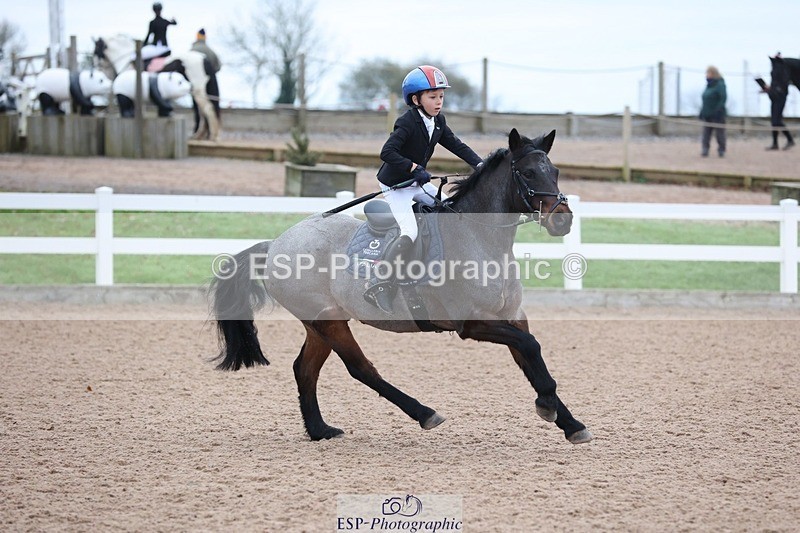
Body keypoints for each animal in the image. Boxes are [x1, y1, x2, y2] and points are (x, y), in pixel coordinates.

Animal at [92, 34, 220, 141]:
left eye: (96, 51)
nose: (98, 68)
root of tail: (203, 57)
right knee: (203, 111)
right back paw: (199, 135)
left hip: (198, 90)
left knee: (207, 109)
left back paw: (212, 136)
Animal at [209, 128, 594, 445]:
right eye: (528, 173)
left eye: (555, 172)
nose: (562, 219)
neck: (478, 236)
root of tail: (275, 243)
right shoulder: (473, 322)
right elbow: (531, 348)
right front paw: (548, 407)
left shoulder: (512, 316)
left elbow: (532, 358)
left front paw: (570, 422)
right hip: (327, 321)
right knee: (361, 369)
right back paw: (425, 413)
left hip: (322, 323)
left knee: (305, 369)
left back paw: (320, 431)